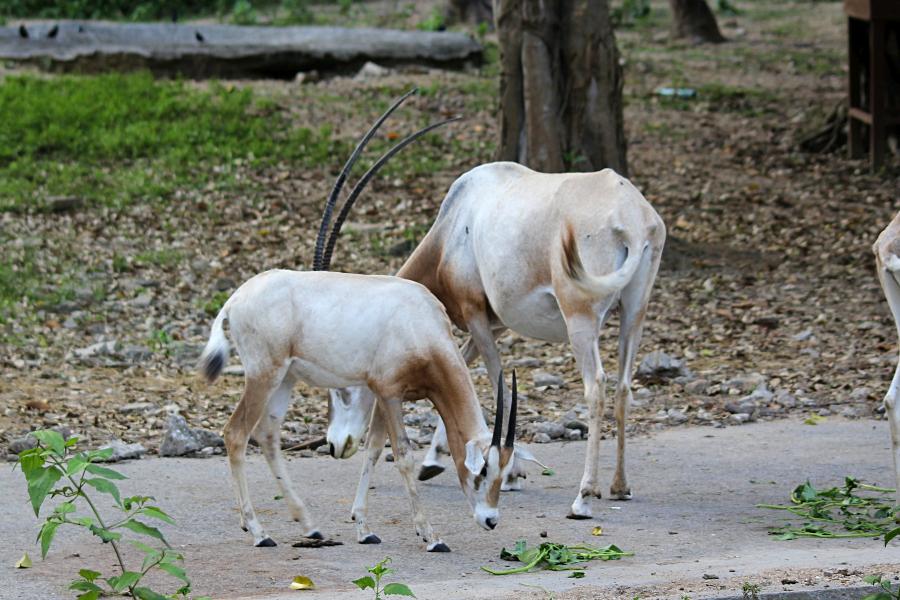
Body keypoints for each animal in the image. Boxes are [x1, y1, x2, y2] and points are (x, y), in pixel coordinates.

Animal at [199, 91, 520, 552]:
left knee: (268, 437)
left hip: (284, 379)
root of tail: (236, 299)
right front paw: (431, 536)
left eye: (502, 473)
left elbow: (372, 451)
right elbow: (401, 455)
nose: (491, 520)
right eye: (480, 472)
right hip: (263, 375)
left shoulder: (392, 394)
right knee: (236, 434)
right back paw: (259, 532)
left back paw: (310, 525)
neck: (421, 324)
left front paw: (364, 527)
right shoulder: (388, 391)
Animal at [326, 161, 664, 520]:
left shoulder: (475, 313)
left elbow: (495, 382)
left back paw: (583, 497)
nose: (335, 445)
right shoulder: (495, 325)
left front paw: (512, 474)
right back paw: (620, 485)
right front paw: (433, 461)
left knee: (596, 386)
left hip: (579, 316)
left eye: (341, 387)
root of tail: (632, 218)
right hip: (634, 312)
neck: (452, 227)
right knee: (624, 388)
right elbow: (462, 366)